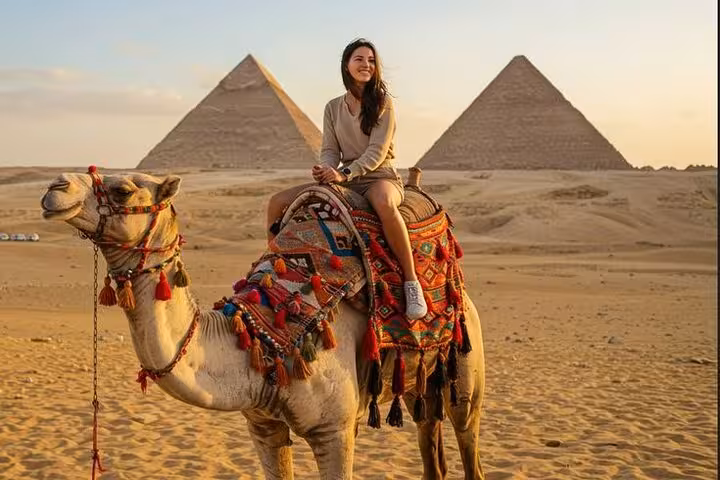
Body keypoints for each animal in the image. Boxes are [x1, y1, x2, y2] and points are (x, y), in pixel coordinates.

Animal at [40, 169, 486, 480]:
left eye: (123, 190)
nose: (56, 186)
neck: (265, 335)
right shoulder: (263, 425)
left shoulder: (335, 429)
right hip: (418, 381)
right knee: (432, 449)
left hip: (466, 371)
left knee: (468, 443)